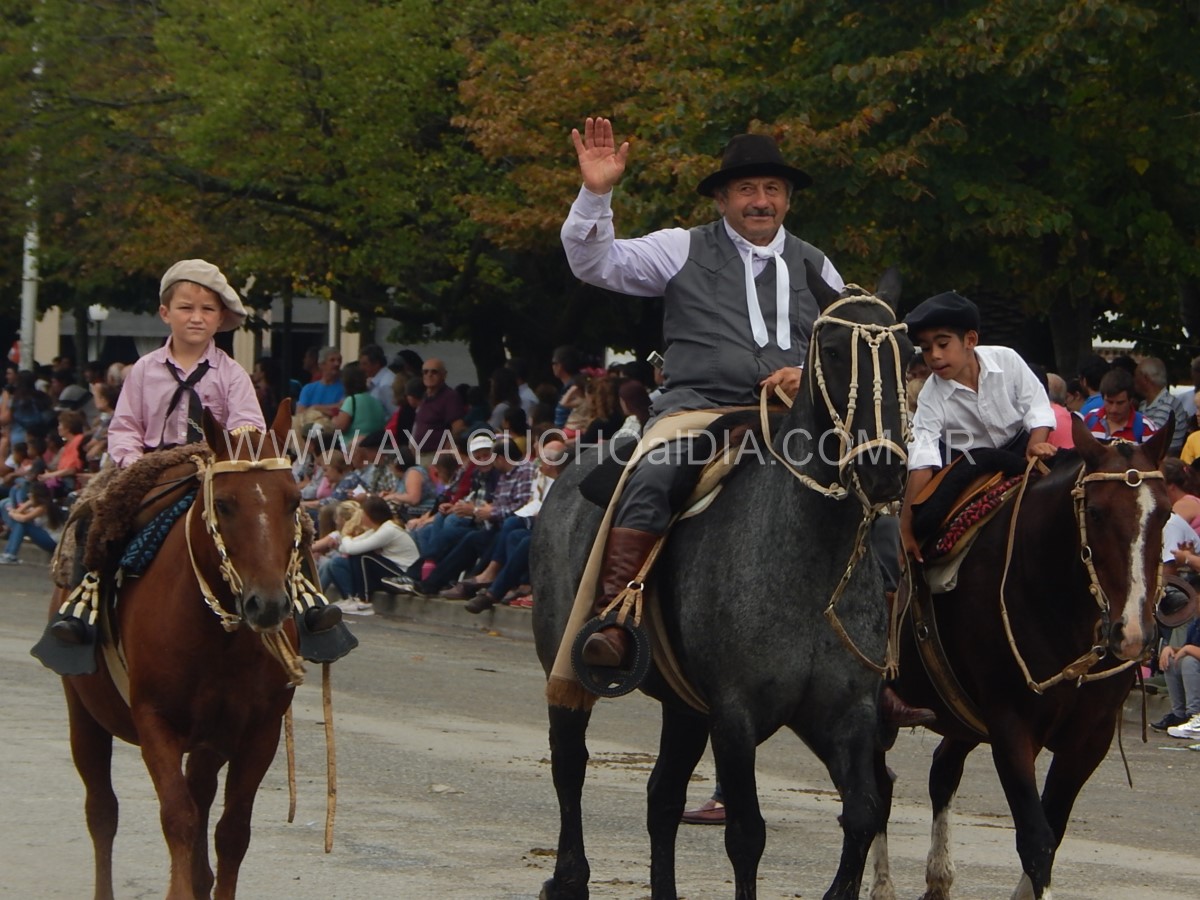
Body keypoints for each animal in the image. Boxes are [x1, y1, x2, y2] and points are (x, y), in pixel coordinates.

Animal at [55, 402, 307, 900]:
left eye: (293, 501)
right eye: (224, 503)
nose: (267, 604)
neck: (220, 637)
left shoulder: (259, 731)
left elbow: (232, 831)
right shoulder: (156, 721)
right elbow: (178, 816)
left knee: (201, 793)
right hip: (84, 714)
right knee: (102, 811)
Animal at [531, 266, 911, 900]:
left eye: (908, 357)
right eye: (833, 351)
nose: (883, 468)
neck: (811, 562)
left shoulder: (848, 713)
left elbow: (863, 811)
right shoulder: (735, 715)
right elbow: (746, 835)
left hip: (684, 706)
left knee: (662, 796)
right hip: (567, 658)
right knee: (569, 762)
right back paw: (568, 877)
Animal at [878, 416, 1171, 900]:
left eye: (1163, 514)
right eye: (1096, 512)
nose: (1132, 634)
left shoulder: (1089, 738)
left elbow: (1054, 826)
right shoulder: (1011, 726)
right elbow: (1036, 838)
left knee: (941, 771)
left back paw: (938, 877)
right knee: (874, 782)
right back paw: (881, 884)